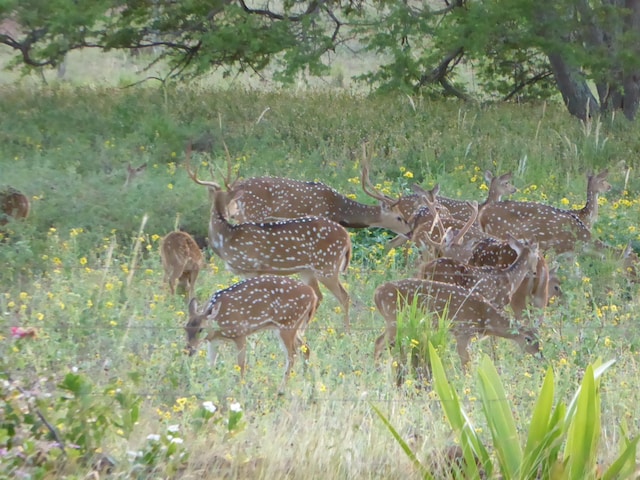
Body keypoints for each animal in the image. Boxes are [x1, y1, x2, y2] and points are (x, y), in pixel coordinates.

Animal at [185, 146, 356, 332]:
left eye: (234, 202)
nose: (234, 213)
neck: (226, 239)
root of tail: (347, 239)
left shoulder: (252, 267)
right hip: (308, 270)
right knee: (319, 296)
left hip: (326, 266)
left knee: (344, 296)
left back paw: (347, 331)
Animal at [185, 276, 318, 392]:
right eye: (185, 328)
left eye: (201, 329)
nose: (188, 350)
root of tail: (313, 294)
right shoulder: (213, 341)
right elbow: (211, 364)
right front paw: (206, 389)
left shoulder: (240, 333)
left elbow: (241, 364)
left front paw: (241, 389)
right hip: (293, 327)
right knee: (306, 348)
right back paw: (306, 380)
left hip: (287, 324)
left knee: (292, 355)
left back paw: (281, 390)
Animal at [372, 280, 544, 366]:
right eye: (528, 339)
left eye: (539, 338)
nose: (540, 355)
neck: (486, 318)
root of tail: (376, 293)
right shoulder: (463, 331)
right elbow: (466, 363)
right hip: (395, 318)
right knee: (379, 341)